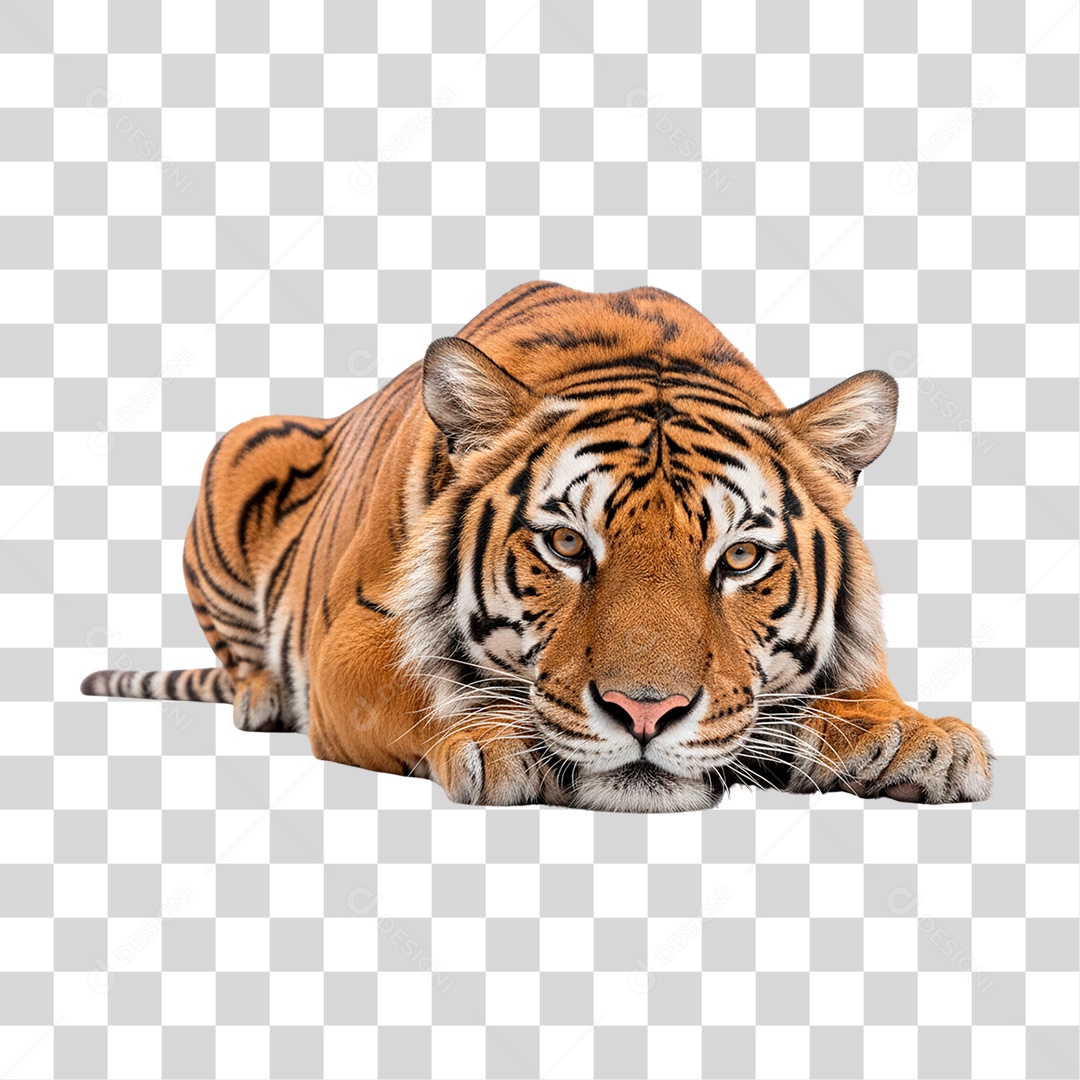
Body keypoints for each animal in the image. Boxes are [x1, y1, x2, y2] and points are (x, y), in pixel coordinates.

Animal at [82, 281, 994, 812]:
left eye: (739, 558)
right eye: (565, 544)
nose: (645, 713)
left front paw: (920, 738)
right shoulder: (354, 639)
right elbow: (424, 689)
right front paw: (504, 738)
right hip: (243, 445)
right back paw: (262, 696)